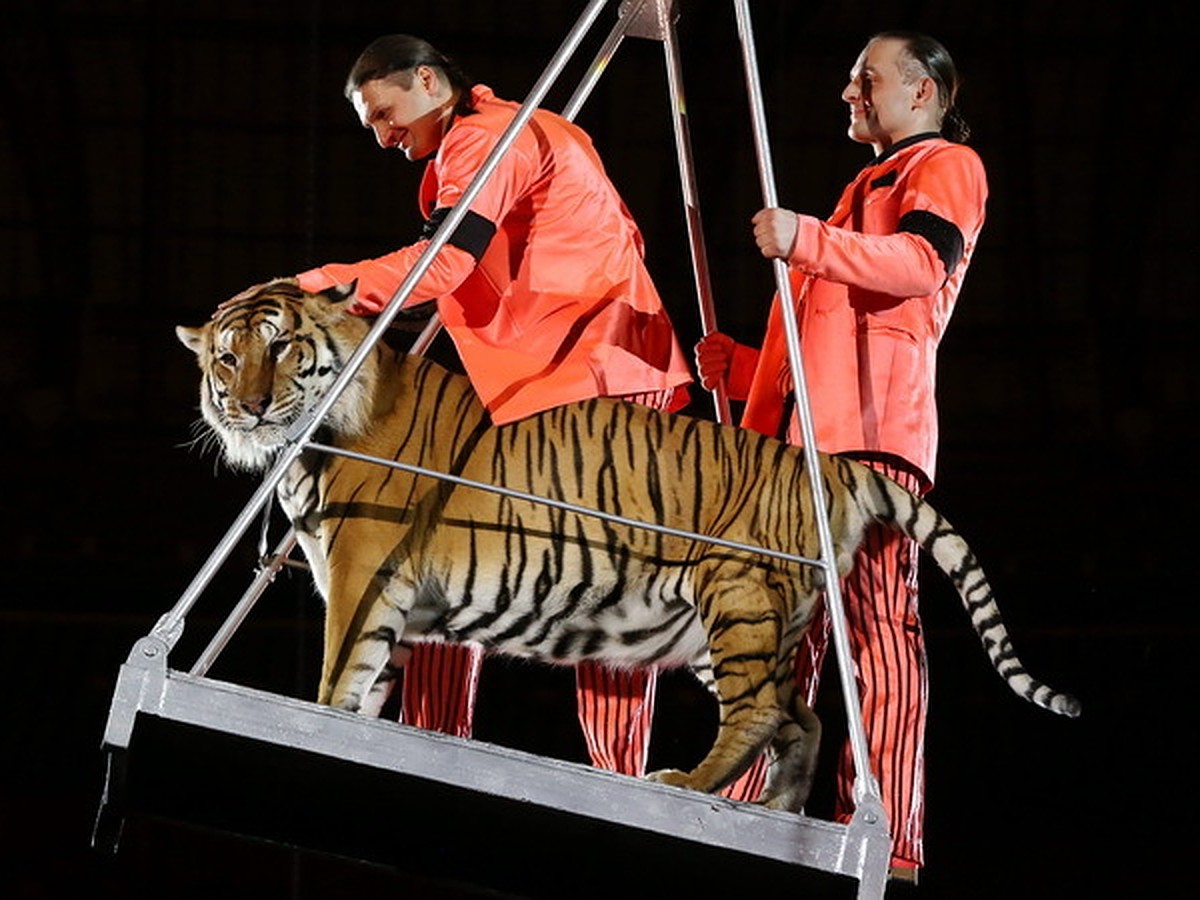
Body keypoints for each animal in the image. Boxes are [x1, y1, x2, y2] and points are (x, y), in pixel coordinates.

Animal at [175, 278, 1080, 816]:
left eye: (281, 346)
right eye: (226, 355)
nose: (246, 405)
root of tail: (830, 463)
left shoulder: (364, 565)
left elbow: (339, 674)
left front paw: (312, 726)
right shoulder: (390, 598)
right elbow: (369, 689)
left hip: (736, 599)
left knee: (760, 713)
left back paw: (692, 785)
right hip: (746, 625)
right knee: (806, 715)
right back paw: (772, 808)